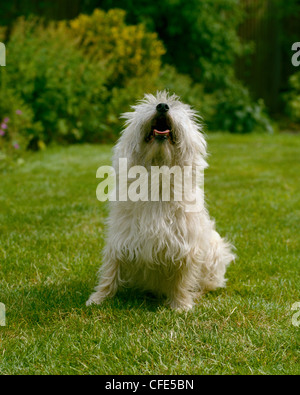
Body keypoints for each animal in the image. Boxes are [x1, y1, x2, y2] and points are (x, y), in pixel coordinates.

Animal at [86, 91, 234, 310]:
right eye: (148, 104)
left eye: (175, 104)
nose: (163, 106)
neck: (159, 174)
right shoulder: (121, 238)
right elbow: (110, 270)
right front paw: (99, 298)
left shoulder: (186, 246)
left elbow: (183, 276)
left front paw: (181, 305)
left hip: (215, 253)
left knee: (209, 284)